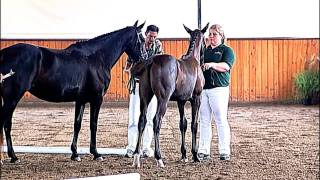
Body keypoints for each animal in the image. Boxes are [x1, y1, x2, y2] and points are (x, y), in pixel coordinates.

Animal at [0, 20, 148, 164]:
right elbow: (93, 125)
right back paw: (10, 157)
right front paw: (96, 153)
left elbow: (77, 124)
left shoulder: (81, 100)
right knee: (5, 123)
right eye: (141, 38)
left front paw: (75, 153)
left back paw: (13, 156)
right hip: (13, 97)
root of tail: (4, 53)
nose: (145, 58)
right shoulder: (97, 99)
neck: (97, 58)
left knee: (7, 125)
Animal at [132, 23, 209, 167]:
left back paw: (136, 156)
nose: (203, 57)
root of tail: (152, 60)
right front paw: (195, 155)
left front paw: (184, 155)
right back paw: (159, 158)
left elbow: (183, 124)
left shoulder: (181, 101)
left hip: (145, 97)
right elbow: (194, 124)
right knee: (156, 120)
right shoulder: (197, 98)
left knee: (142, 121)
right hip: (163, 100)